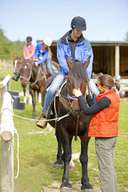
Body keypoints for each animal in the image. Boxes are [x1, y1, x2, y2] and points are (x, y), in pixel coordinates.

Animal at [47, 61, 93, 190]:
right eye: (69, 80)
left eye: (86, 80)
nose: (76, 106)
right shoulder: (64, 130)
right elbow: (67, 155)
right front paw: (65, 182)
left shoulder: (86, 133)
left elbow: (84, 157)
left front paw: (86, 182)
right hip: (58, 127)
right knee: (59, 141)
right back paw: (59, 160)